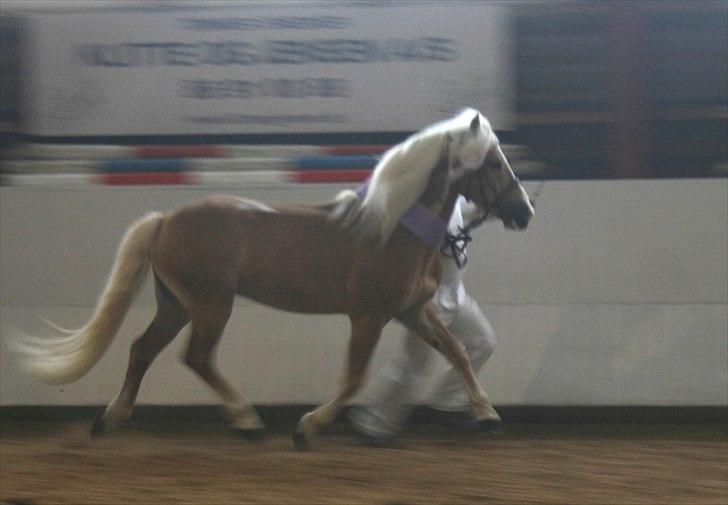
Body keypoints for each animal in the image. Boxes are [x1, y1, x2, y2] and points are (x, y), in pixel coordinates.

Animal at [21, 108, 536, 446]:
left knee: (142, 349)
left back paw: (111, 419)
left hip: (176, 303)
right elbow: (354, 376)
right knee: (197, 357)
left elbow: (457, 351)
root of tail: (165, 221)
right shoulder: (368, 318)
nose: (526, 211)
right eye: (493, 162)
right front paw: (309, 427)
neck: (393, 230)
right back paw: (247, 421)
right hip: (211, 304)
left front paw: (486, 413)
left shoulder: (413, 312)